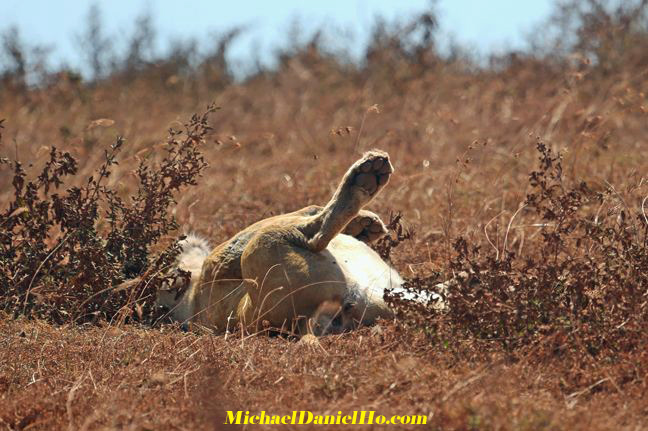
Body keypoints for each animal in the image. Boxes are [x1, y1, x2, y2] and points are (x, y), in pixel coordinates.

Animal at [157, 150, 430, 336]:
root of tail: (304, 322)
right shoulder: (217, 264)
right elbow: (301, 211)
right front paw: (363, 221)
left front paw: (365, 226)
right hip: (264, 245)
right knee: (314, 233)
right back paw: (366, 175)